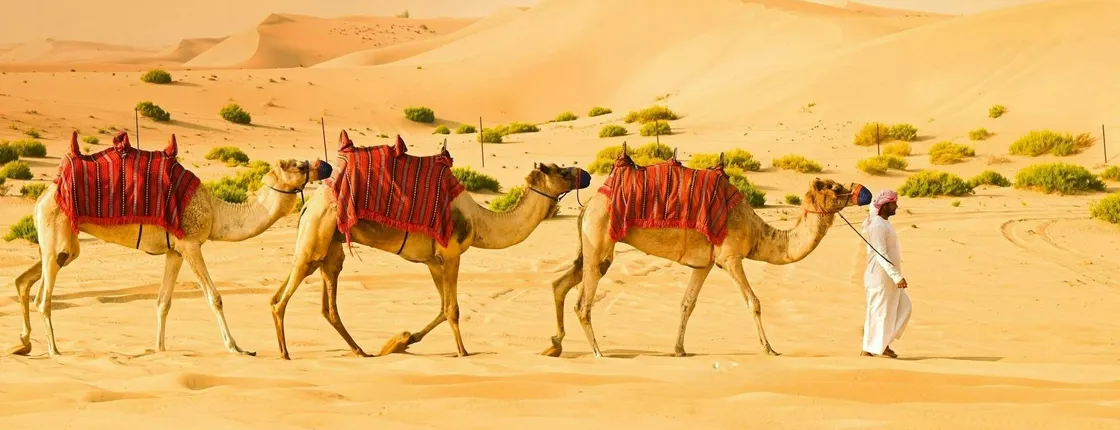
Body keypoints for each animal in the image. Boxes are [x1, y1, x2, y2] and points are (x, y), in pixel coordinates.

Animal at [6, 132, 331, 357]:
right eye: (297, 164)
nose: (325, 166)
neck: (216, 212)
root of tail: (44, 195)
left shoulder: (174, 251)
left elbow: (163, 302)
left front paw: (159, 349)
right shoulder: (190, 244)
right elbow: (215, 297)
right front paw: (237, 347)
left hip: (62, 243)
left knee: (26, 279)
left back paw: (23, 344)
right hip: (56, 231)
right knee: (43, 296)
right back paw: (54, 350)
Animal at [268, 131, 591, 360]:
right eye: (563, 172)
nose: (585, 175)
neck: (480, 221)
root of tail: (308, 206)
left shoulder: (433, 261)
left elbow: (442, 308)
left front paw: (401, 341)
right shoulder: (451, 253)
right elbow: (453, 308)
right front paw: (463, 352)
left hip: (328, 248)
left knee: (321, 303)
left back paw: (361, 351)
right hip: (316, 238)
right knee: (283, 298)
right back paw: (285, 353)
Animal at [540, 153, 869, 358]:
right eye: (834, 187)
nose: (861, 191)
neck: (757, 231)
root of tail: (588, 205)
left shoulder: (705, 264)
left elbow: (687, 304)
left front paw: (679, 349)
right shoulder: (730, 258)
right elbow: (754, 302)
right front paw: (770, 349)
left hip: (589, 246)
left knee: (560, 284)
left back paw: (555, 345)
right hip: (600, 239)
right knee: (583, 302)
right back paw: (598, 351)